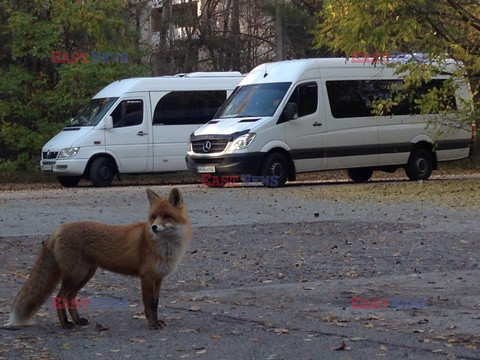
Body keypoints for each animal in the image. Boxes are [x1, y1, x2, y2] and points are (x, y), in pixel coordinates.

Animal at [7, 188, 191, 330]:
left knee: (69, 297)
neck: (165, 248)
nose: (153, 227)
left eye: (166, 216)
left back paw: (77, 321)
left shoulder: (158, 279)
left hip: (85, 275)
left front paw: (157, 321)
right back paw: (65, 324)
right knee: (59, 297)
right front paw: (152, 324)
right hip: (76, 275)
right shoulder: (146, 277)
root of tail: (59, 229)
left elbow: (156, 303)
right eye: (153, 217)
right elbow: (149, 305)